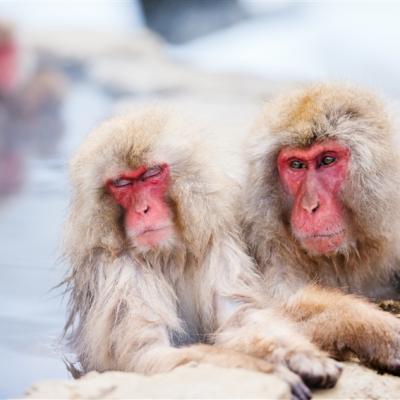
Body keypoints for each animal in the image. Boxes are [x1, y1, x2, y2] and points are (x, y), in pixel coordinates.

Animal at [62, 106, 340, 396]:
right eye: (122, 183)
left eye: (151, 174)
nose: (142, 210)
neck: (165, 254)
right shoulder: (118, 271)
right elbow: (144, 356)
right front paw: (271, 372)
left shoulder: (216, 243)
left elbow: (240, 318)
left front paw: (300, 355)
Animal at [242, 83, 400, 376]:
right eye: (296, 165)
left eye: (327, 160)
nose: (310, 206)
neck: (342, 257)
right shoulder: (264, 242)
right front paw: (379, 331)